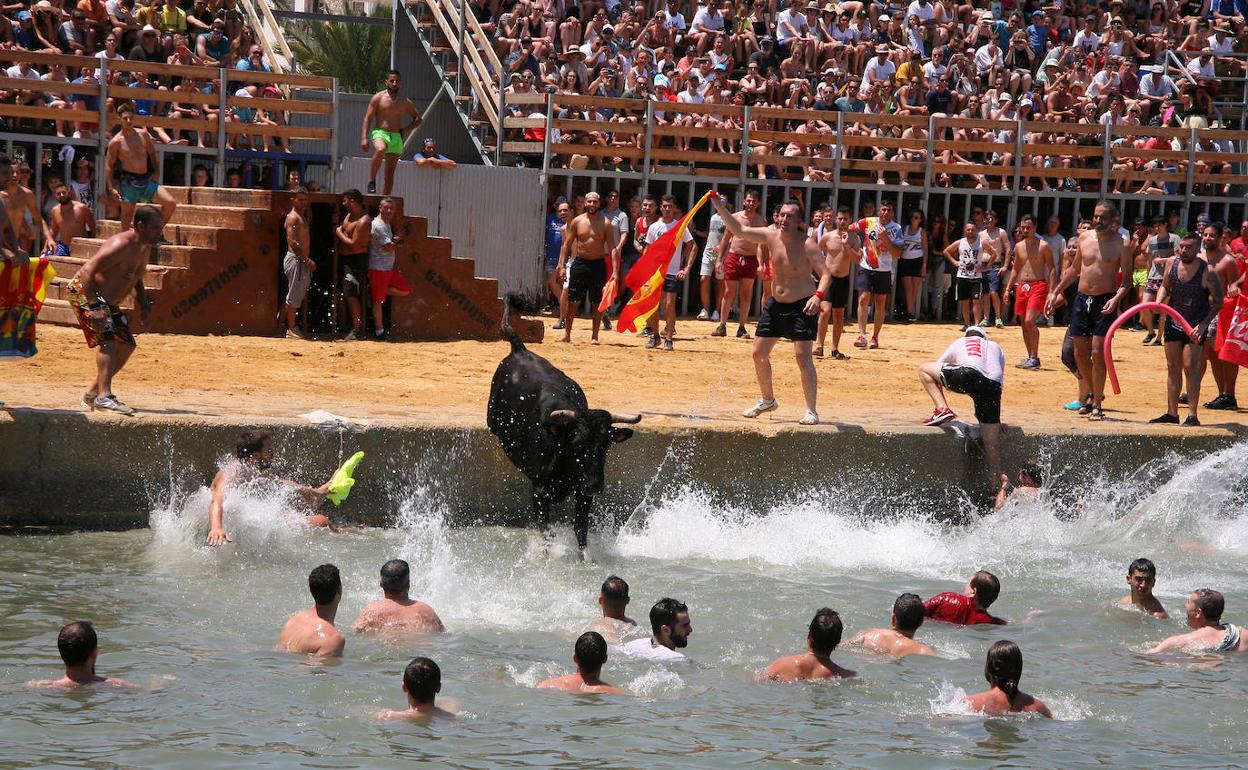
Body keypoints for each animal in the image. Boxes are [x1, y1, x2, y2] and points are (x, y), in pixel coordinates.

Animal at [486, 321, 643, 549]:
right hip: (491, 421)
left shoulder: (583, 493)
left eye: (606, 445)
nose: (595, 485)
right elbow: (547, 534)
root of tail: (520, 350)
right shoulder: (540, 492)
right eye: (576, 442)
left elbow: (581, 530)